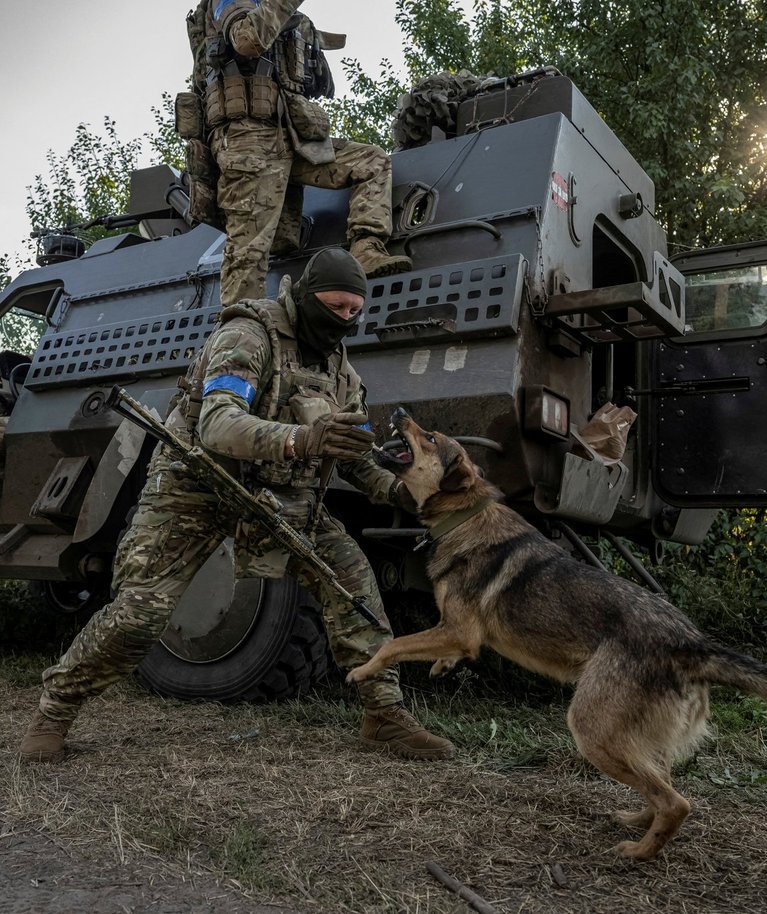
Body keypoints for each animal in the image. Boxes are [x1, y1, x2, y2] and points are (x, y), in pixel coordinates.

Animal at [348, 410, 767, 860]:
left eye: (429, 437)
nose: (397, 414)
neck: (466, 515)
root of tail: (692, 643)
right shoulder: (455, 633)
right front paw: (442, 665)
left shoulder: (458, 630)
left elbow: (394, 643)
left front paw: (362, 671)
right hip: (631, 736)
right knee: (661, 782)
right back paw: (638, 822)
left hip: (592, 729)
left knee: (676, 801)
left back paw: (638, 852)